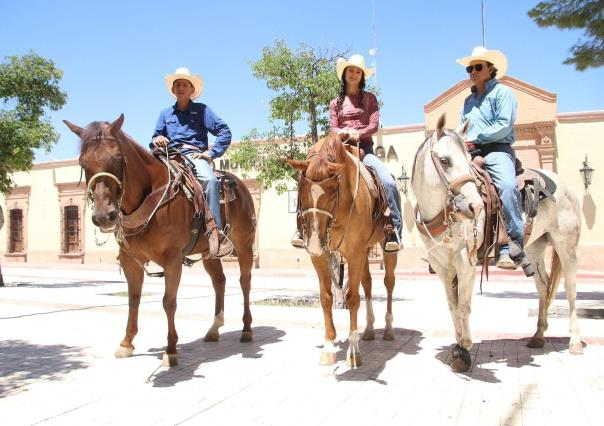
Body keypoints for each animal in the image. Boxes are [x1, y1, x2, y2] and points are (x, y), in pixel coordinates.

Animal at [64, 113, 258, 366]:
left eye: (117, 159)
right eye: (83, 163)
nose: (104, 216)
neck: (151, 194)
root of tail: (240, 186)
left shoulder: (172, 259)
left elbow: (169, 302)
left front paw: (171, 350)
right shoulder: (129, 260)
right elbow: (134, 299)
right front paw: (126, 343)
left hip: (244, 246)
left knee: (245, 282)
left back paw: (246, 329)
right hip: (210, 252)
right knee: (219, 281)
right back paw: (214, 329)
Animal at [286, 132, 398, 366]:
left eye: (332, 192)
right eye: (301, 190)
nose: (314, 242)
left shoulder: (354, 254)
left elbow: (353, 299)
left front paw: (353, 351)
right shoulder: (321, 257)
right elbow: (326, 298)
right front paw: (329, 346)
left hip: (385, 250)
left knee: (389, 283)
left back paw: (388, 329)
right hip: (364, 250)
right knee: (368, 283)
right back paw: (370, 329)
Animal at [412, 115, 584, 372]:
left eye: (467, 160)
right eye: (444, 160)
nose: (474, 207)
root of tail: (564, 186)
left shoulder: (466, 262)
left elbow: (464, 305)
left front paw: (464, 349)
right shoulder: (442, 265)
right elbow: (453, 306)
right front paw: (457, 347)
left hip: (566, 246)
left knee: (571, 289)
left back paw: (575, 342)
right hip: (534, 248)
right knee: (543, 286)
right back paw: (538, 336)